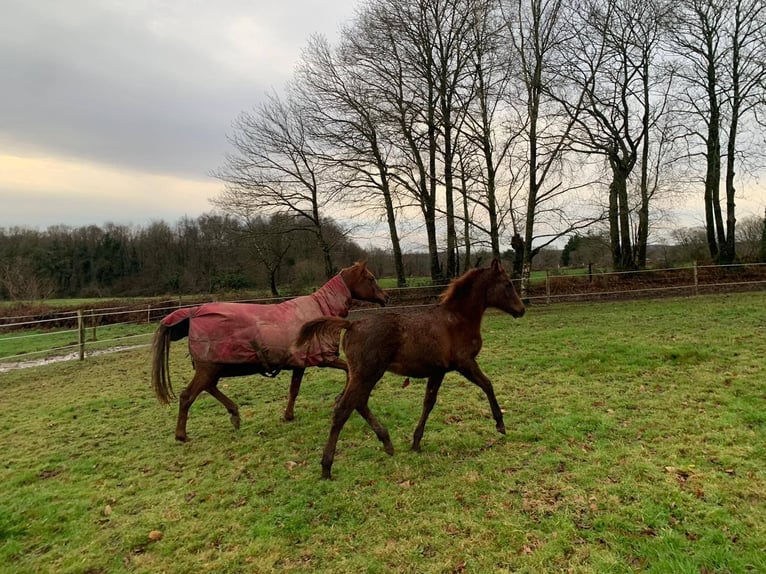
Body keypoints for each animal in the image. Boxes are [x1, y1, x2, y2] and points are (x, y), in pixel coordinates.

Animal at [152, 264, 390, 444]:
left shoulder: (299, 363)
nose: (386, 297)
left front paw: (288, 415)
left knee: (209, 388)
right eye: (371, 278)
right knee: (188, 396)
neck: (320, 311)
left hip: (215, 367)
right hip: (209, 367)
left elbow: (294, 390)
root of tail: (193, 313)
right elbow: (348, 371)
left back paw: (234, 414)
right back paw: (182, 435)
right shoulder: (324, 358)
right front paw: (340, 397)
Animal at [296, 260, 528, 482]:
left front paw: (416, 442)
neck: (457, 319)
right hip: (368, 373)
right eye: (508, 284)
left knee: (358, 403)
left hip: (362, 374)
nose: (521, 310)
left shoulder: (438, 371)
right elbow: (487, 384)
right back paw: (327, 467)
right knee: (343, 409)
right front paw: (500, 424)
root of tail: (352, 324)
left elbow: (429, 402)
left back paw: (387, 443)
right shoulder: (465, 363)